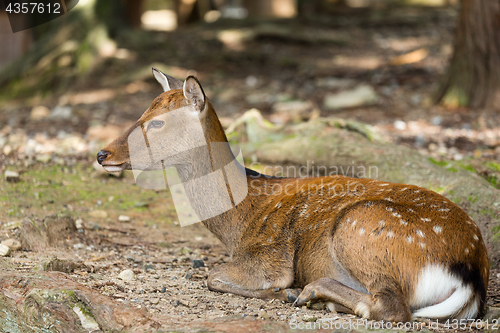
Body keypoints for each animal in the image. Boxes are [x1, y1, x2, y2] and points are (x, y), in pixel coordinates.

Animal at [96, 68, 488, 322]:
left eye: (158, 122)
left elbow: (213, 276)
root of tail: (471, 274)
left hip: (360, 226)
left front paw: (281, 292)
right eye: (144, 111)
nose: (102, 154)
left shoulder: (269, 257)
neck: (238, 221)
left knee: (392, 308)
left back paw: (310, 293)